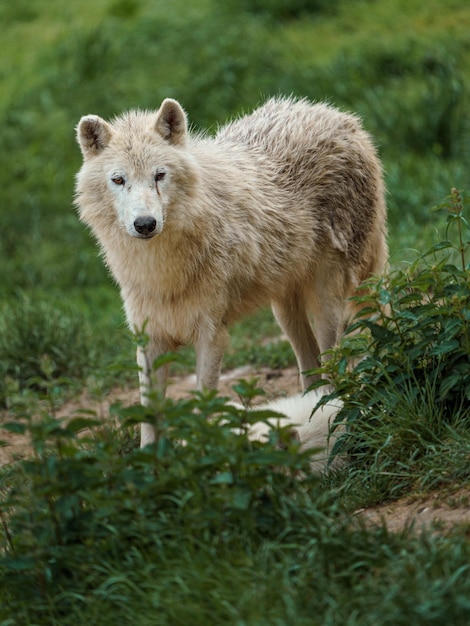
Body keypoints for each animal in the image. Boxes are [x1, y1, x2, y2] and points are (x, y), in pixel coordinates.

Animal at [75, 96, 388, 444]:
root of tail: (342, 118)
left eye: (159, 175)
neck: (162, 270)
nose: (145, 224)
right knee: (312, 375)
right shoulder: (150, 339)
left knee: (332, 371)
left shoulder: (212, 337)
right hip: (284, 313)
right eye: (119, 180)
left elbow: (203, 409)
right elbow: (149, 422)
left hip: (326, 305)